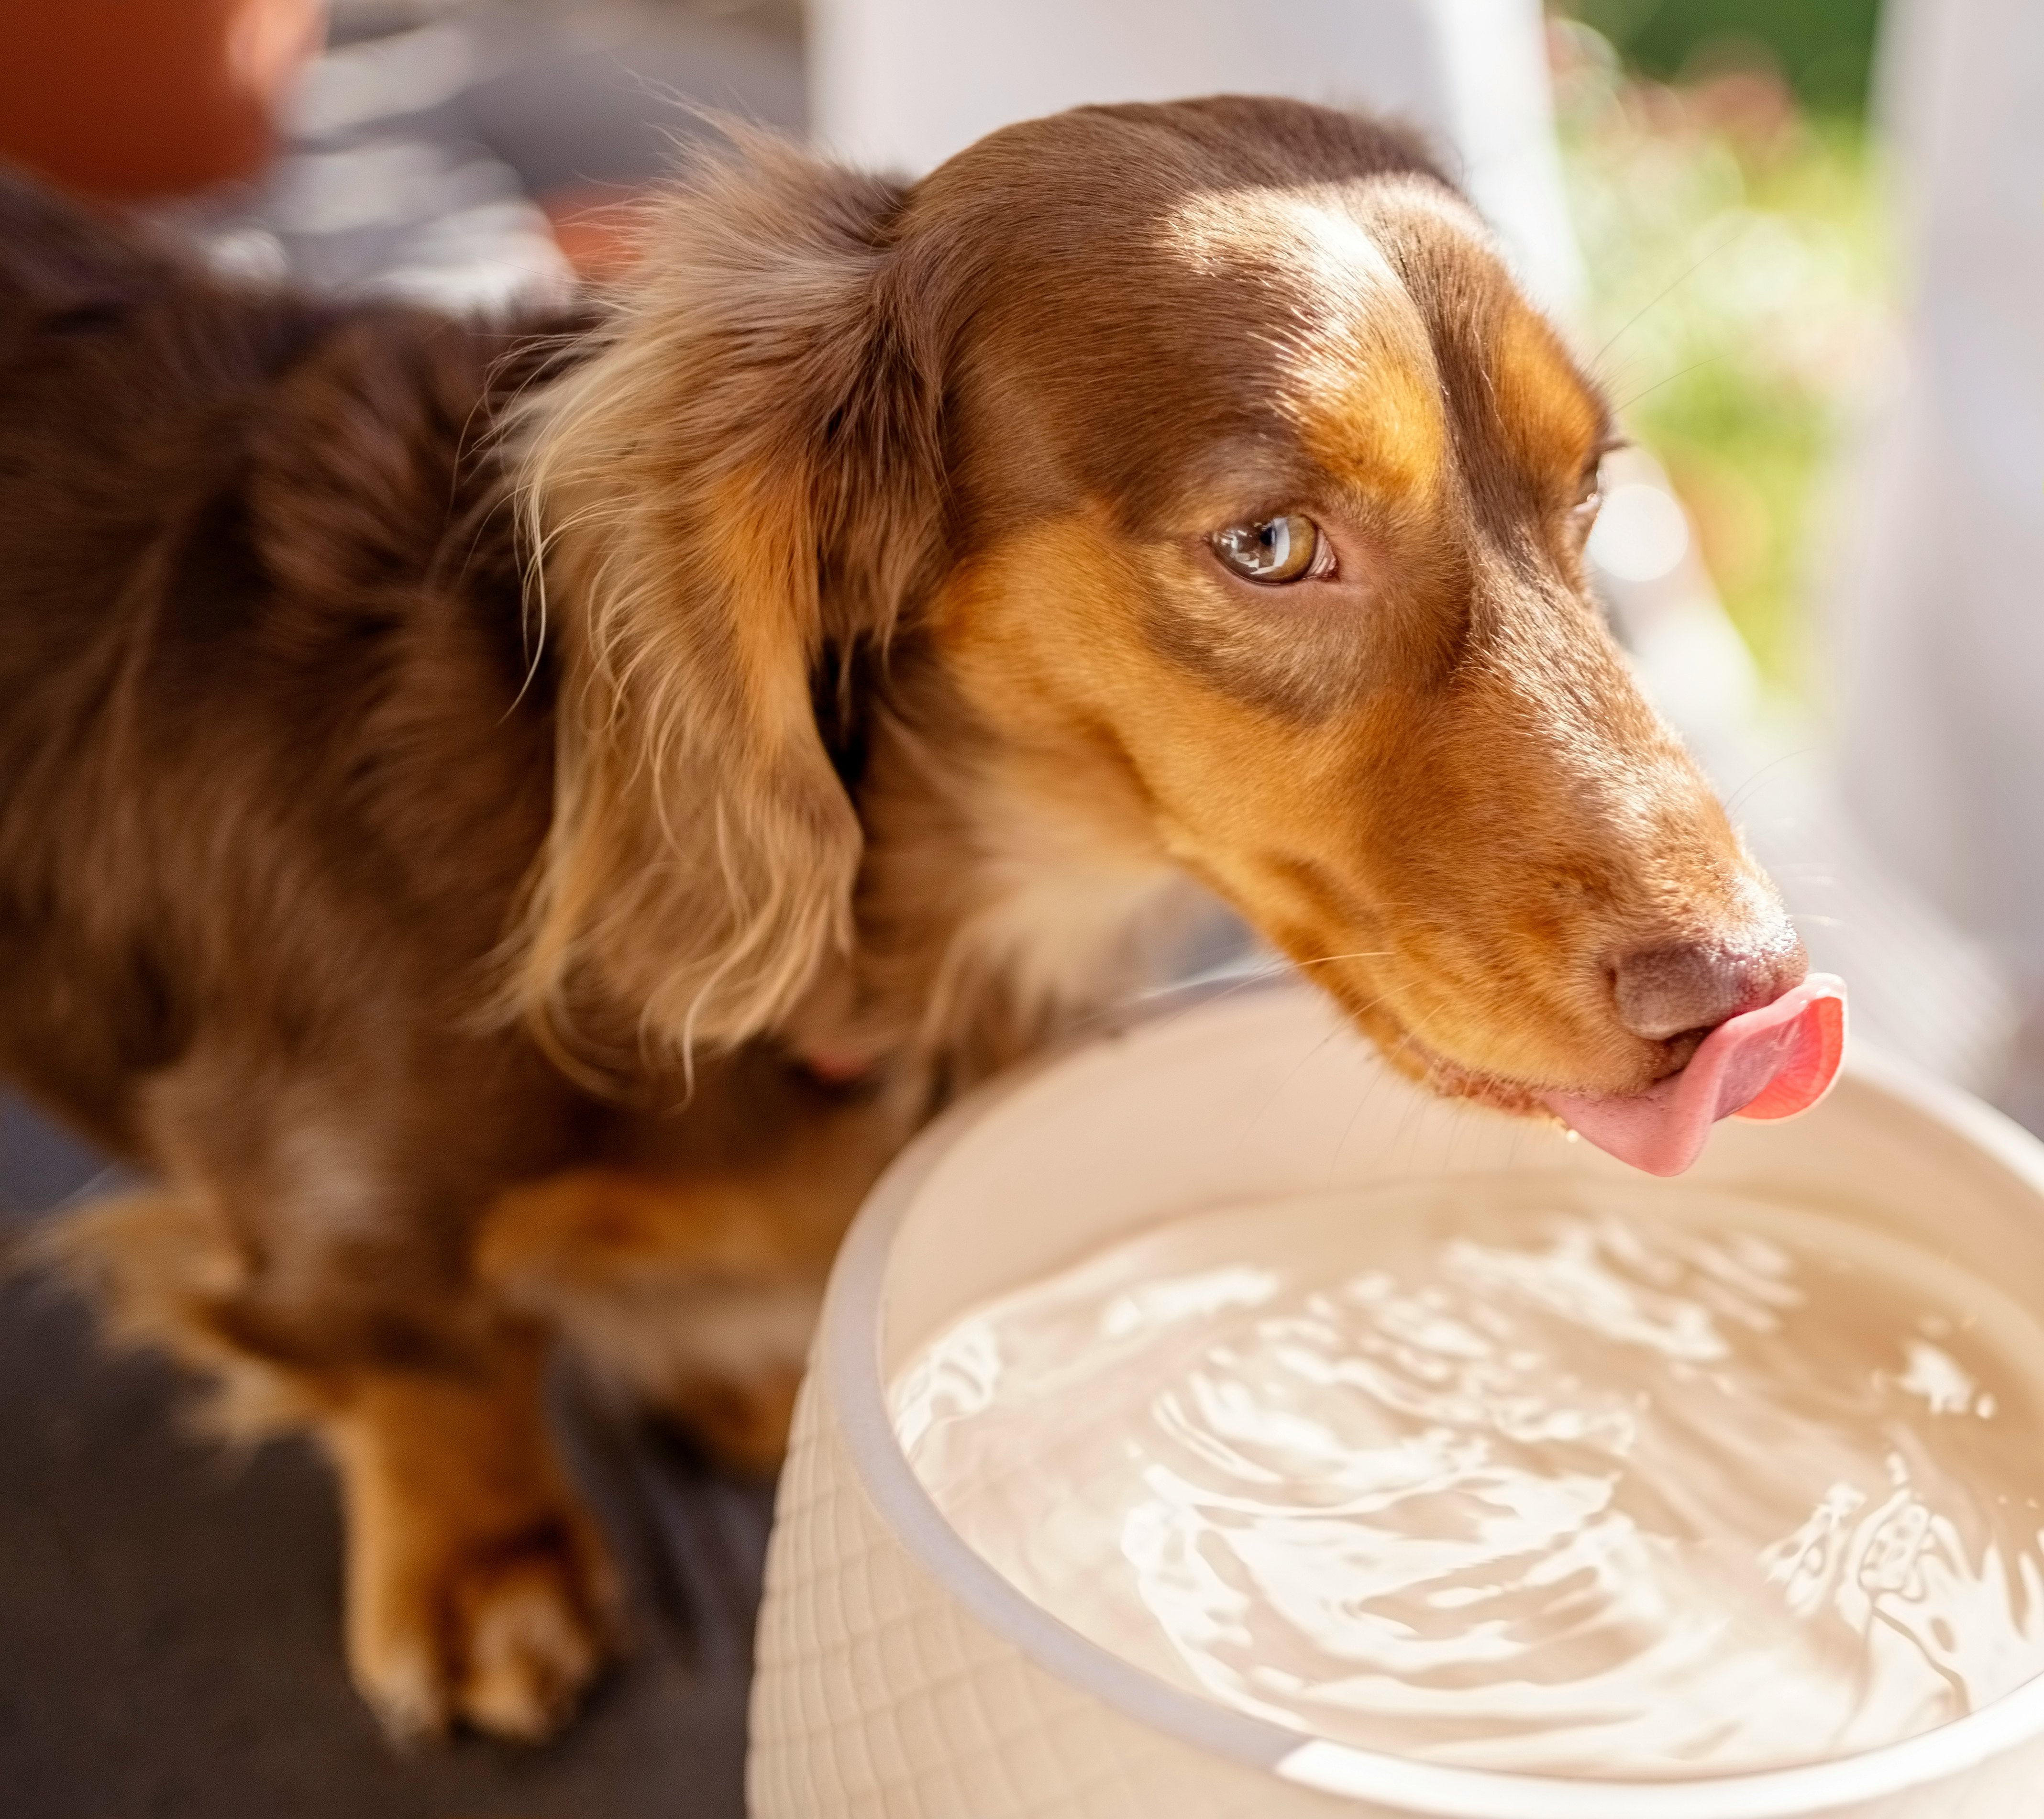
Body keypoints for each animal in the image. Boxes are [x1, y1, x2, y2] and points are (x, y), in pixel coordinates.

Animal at [0, 102, 1807, 1741]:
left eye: (1589, 493)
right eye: (1270, 543)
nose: (1748, 991)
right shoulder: (335, 1202)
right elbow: (429, 1362)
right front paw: (486, 1565)